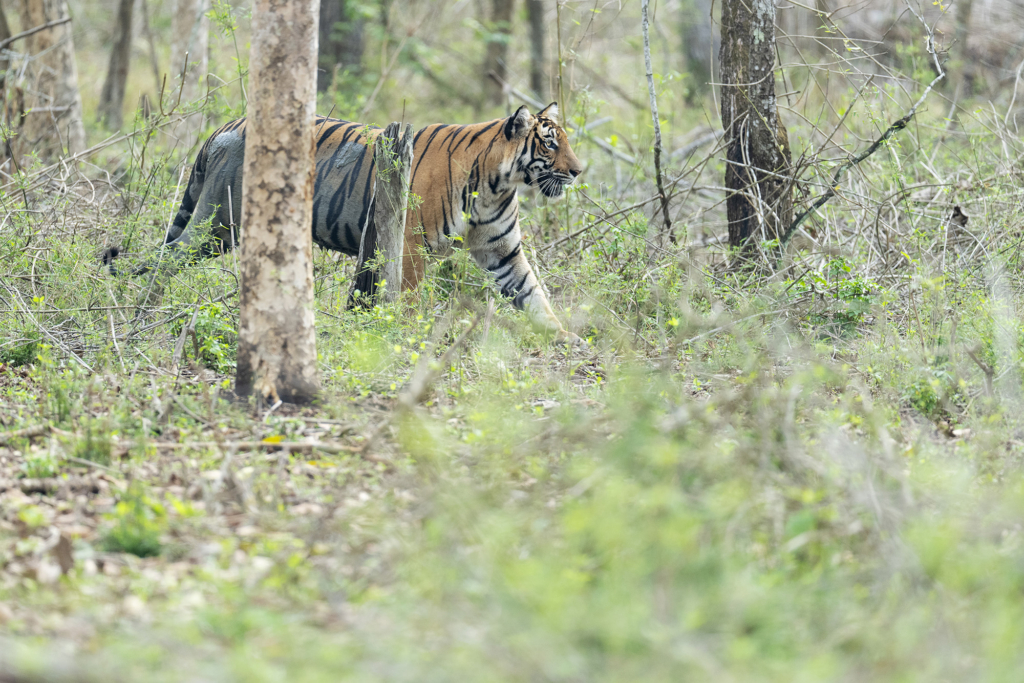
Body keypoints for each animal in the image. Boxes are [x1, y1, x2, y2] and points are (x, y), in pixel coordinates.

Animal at [108, 102, 585, 342]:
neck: (496, 183)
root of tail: (224, 125)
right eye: (550, 143)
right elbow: (407, 298)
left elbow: (531, 292)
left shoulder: (502, 250)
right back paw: (143, 312)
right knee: (169, 257)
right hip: (217, 223)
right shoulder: (411, 244)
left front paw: (563, 337)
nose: (579, 171)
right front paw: (406, 337)